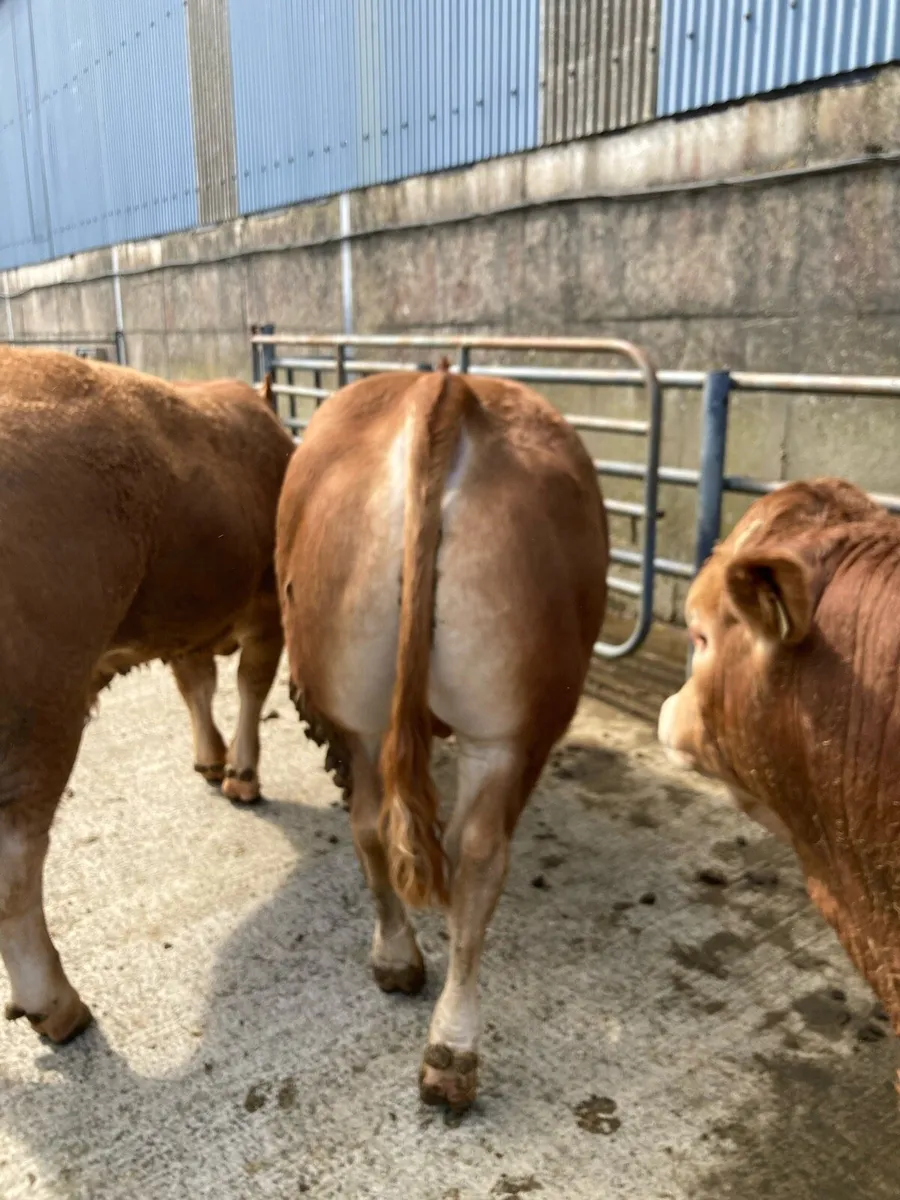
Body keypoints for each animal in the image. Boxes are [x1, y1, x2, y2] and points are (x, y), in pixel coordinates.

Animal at [0, 347, 293, 1044]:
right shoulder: (267, 605)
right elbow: (249, 685)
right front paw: (242, 773)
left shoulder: (186, 622)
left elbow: (196, 685)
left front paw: (211, 759)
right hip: (42, 710)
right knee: (15, 863)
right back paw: (57, 1004)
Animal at [275, 363, 609, 1110]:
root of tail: (444, 390)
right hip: (507, 729)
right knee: (477, 850)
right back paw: (454, 1044)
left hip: (364, 706)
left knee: (374, 824)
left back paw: (402, 971)